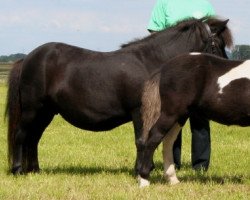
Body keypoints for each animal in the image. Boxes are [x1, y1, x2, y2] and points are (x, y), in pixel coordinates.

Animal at [5, 17, 232, 177]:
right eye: (215, 45)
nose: (225, 71)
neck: (152, 63)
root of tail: (28, 58)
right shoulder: (139, 111)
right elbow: (142, 140)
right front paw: (141, 171)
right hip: (32, 109)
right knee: (21, 135)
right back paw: (18, 170)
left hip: (46, 112)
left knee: (33, 139)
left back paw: (35, 170)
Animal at [139, 52, 250, 187]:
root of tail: (164, 68)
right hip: (170, 113)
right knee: (154, 138)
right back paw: (144, 180)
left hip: (180, 116)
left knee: (168, 141)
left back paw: (172, 179)